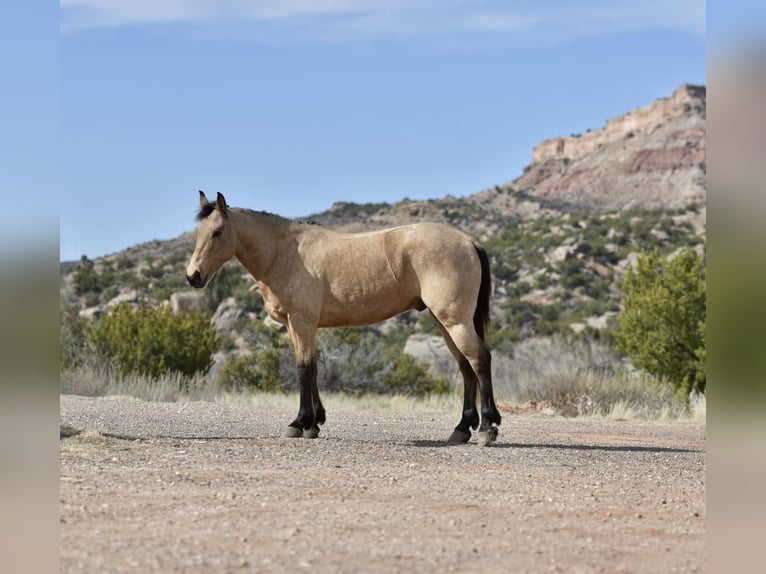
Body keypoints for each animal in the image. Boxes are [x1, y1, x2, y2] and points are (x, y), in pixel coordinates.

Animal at [183, 191, 500, 448]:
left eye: (218, 232)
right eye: (197, 232)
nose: (193, 276)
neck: (284, 252)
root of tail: (469, 241)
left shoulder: (302, 322)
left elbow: (303, 370)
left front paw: (300, 423)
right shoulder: (301, 327)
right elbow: (313, 369)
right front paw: (315, 422)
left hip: (454, 321)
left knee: (480, 360)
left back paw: (487, 427)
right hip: (445, 321)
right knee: (465, 367)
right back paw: (462, 429)